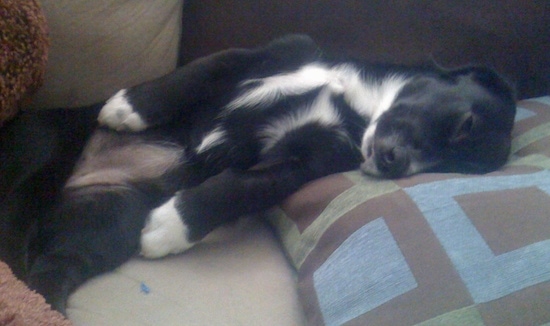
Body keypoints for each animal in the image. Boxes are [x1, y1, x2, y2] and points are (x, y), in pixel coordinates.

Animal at [18, 34, 516, 312]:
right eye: (465, 124)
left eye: (457, 167)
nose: (395, 162)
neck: (358, 101)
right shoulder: (278, 50)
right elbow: (202, 68)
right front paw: (130, 107)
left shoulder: (307, 162)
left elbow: (243, 186)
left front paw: (174, 225)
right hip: (35, 143)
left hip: (105, 218)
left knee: (56, 266)